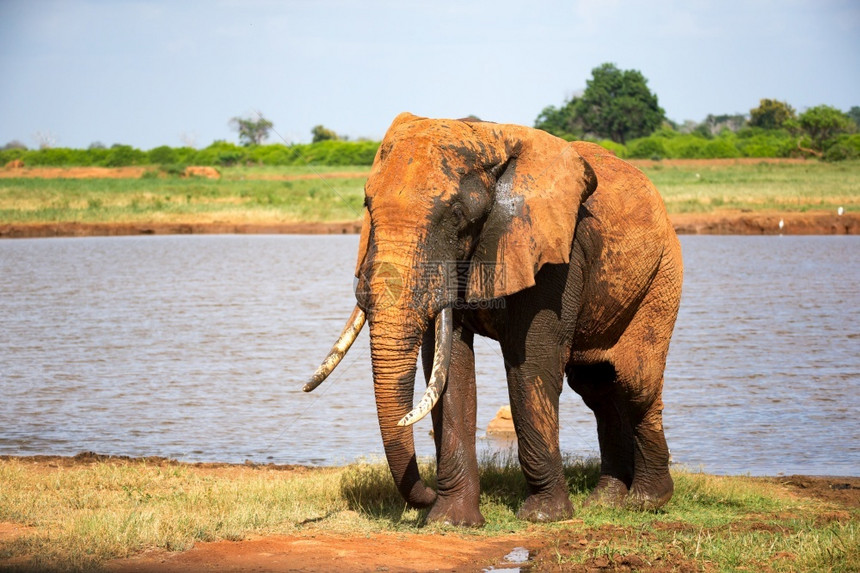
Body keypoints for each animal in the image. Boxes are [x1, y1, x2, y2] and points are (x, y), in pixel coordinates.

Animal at [306, 113, 680, 528]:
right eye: (367, 205)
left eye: (456, 214)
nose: (424, 494)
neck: (488, 136)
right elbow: (449, 369)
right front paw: (450, 522)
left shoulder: (551, 253)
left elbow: (530, 364)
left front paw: (543, 517)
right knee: (597, 386)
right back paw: (605, 502)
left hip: (662, 274)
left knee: (636, 383)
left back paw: (646, 501)